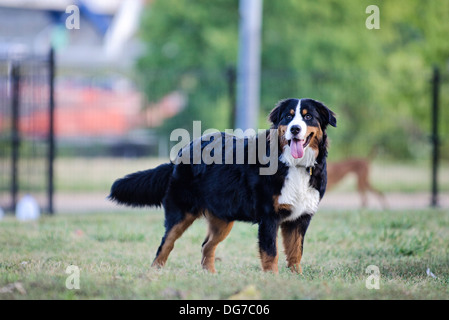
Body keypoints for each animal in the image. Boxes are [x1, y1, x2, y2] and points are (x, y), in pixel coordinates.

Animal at [108, 99, 334, 274]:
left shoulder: (300, 218)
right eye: (288, 117)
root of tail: (182, 151)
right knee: (165, 245)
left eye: (308, 117)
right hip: (181, 213)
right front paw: (272, 279)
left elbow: (296, 253)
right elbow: (271, 253)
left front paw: (296, 278)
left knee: (206, 246)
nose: (295, 129)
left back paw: (210, 276)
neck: (294, 165)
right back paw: (155, 272)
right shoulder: (269, 217)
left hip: (223, 219)